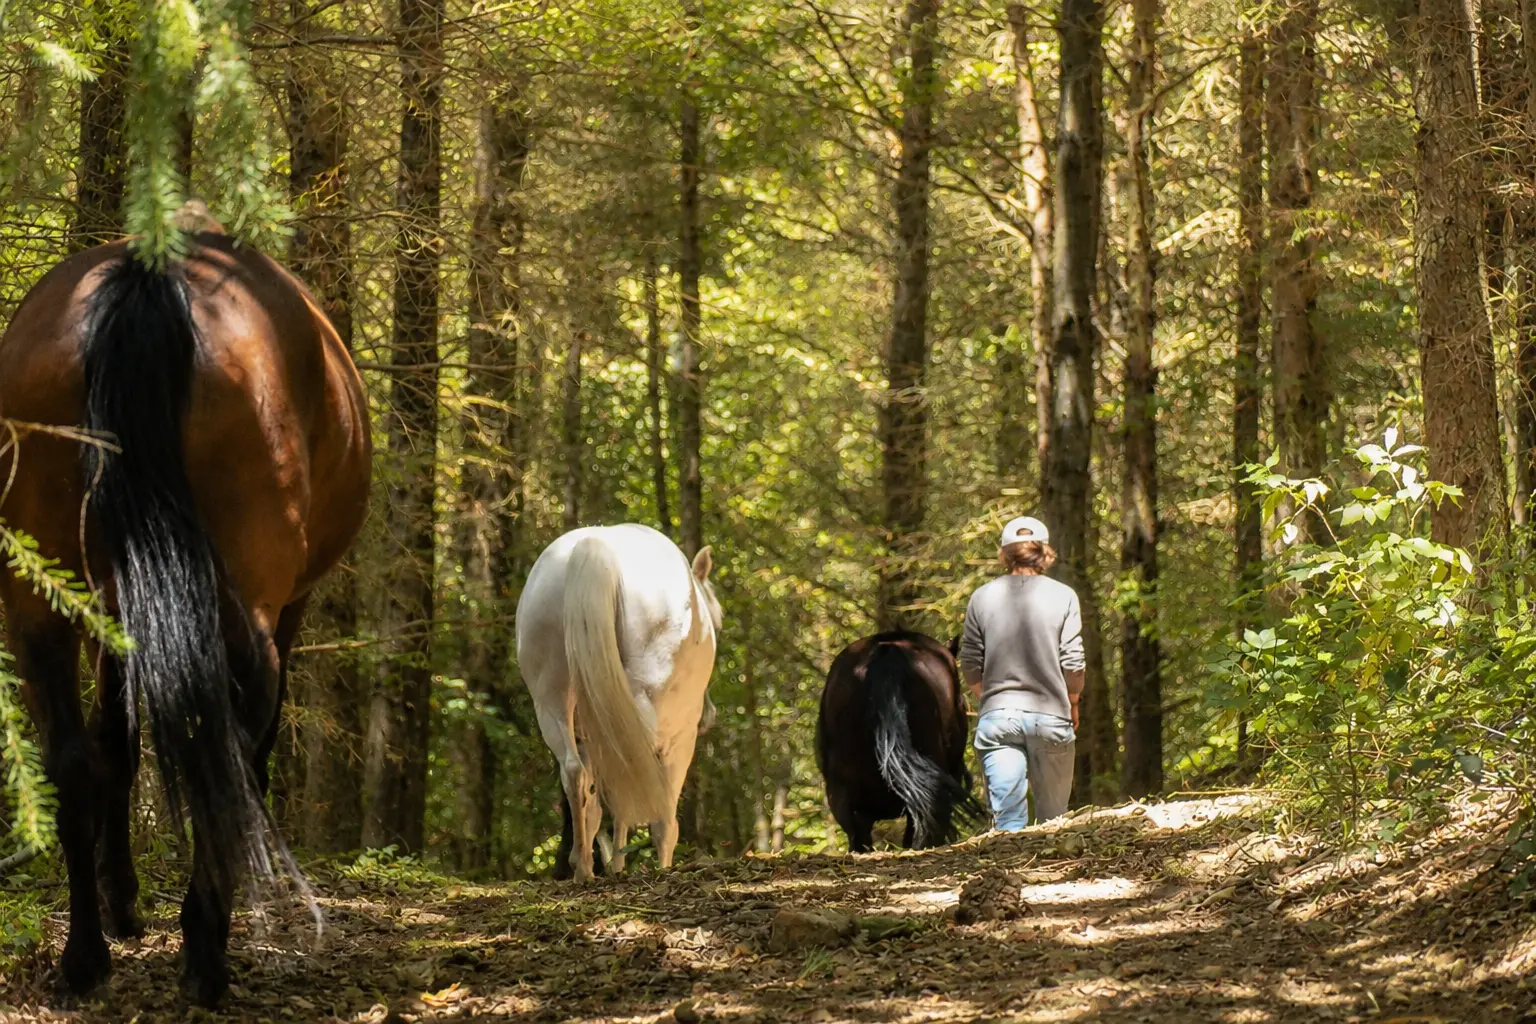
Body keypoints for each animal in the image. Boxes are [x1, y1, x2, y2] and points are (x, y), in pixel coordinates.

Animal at [0, 230, 371, 1005]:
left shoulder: (112, 610)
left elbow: (113, 743)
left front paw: (122, 901)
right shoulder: (287, 610)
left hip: (35, 597)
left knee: (70, 761)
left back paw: (84, 959)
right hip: (244, 609)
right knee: (223, 751)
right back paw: (205, 953)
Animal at [517, 524, 721, 881]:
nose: (709, 715)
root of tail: (594, 548)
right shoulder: (680, 740)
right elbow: (662, 819)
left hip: (550, 701)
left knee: (575, 772)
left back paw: (584, 869)